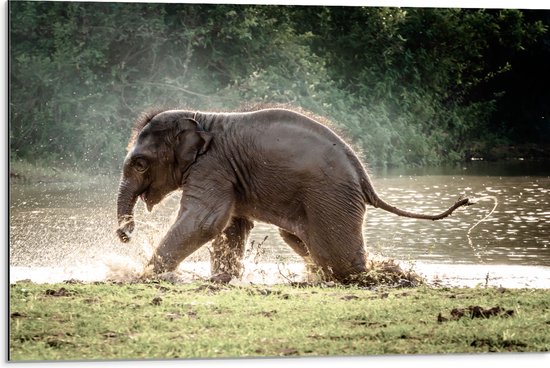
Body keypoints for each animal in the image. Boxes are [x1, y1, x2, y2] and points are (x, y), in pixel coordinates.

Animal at [115, 108, 470, 284]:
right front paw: (221, 279)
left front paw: (140, 276)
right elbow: (231, 224)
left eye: (140, 163)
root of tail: (364, 178)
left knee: (337, 257)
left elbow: (205, 220)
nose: (126, 234)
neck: (202, 118)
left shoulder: (212, 165)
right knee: (298, 240)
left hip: (332, 197)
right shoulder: (227, 173)